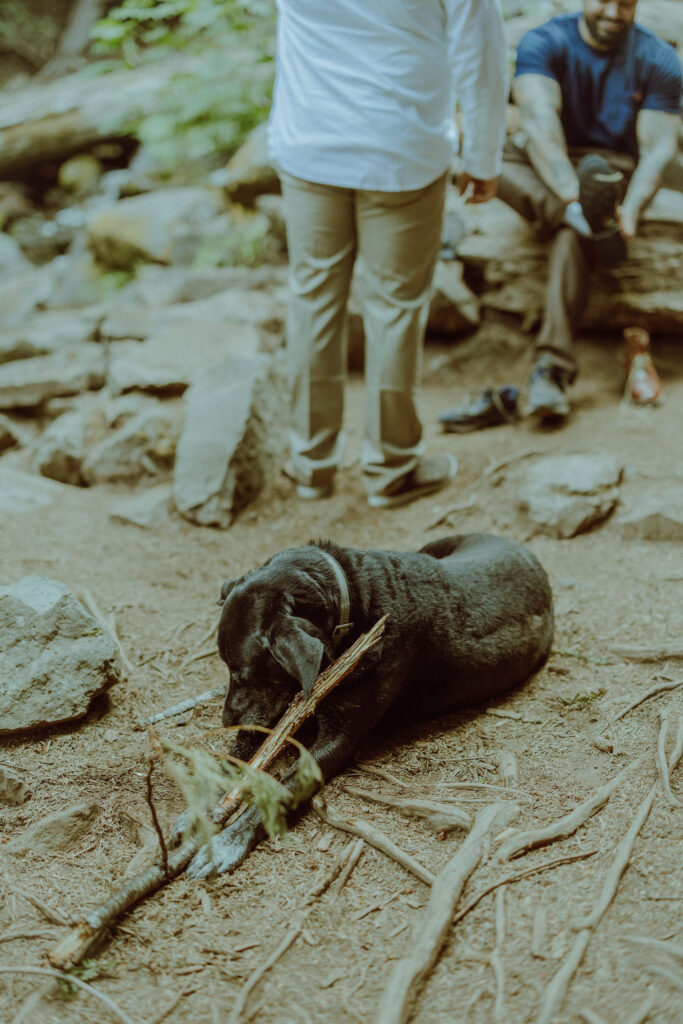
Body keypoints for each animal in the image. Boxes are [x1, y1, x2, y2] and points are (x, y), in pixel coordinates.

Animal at [183, 532, 557, 876]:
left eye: (244, 673)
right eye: (225, 666)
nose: (226, 719)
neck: (352, 604)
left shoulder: (337, 740)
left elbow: (281, 788)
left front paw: (227, 842)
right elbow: (236, 755)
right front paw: (197, 810)